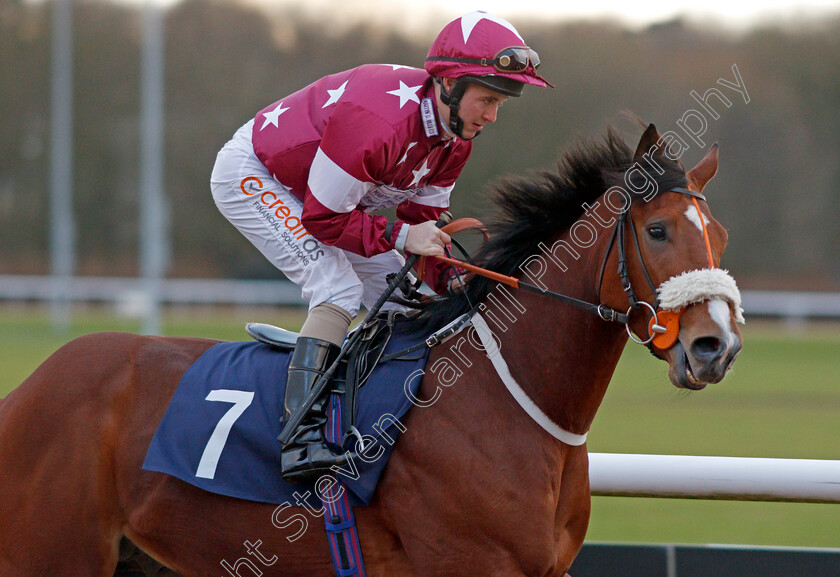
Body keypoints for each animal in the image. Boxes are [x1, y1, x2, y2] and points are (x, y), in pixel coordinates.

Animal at [0, 124, 740, 572]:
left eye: (720, 235)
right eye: (659, 230)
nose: (716, 345)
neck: (507, 399)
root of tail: (30, 387)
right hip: (54, 554)